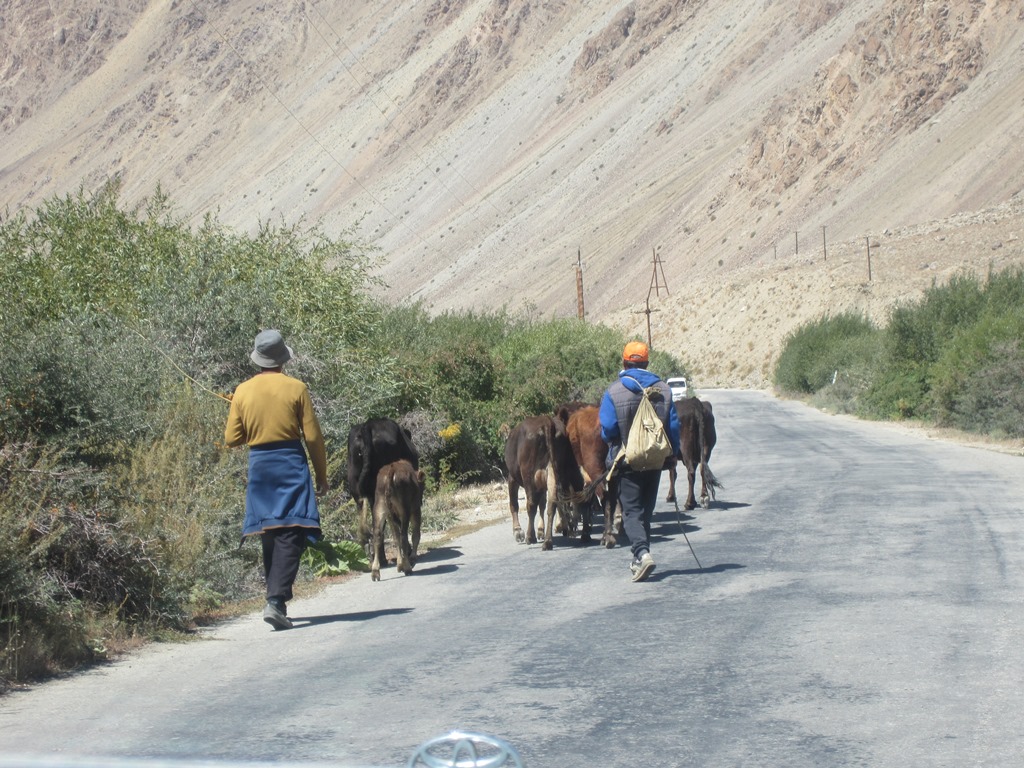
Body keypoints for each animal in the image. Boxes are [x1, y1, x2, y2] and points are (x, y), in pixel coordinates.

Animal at [503, 417, 585, 548]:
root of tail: (546, 421)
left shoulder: (512, 478)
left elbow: (514, 504)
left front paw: (518, 531)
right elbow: (542, 504)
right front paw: (541, 531)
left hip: (529, 475)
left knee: (531, 505)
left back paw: (530, 536)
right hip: (556, 470)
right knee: (554, 503)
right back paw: (548, 540)